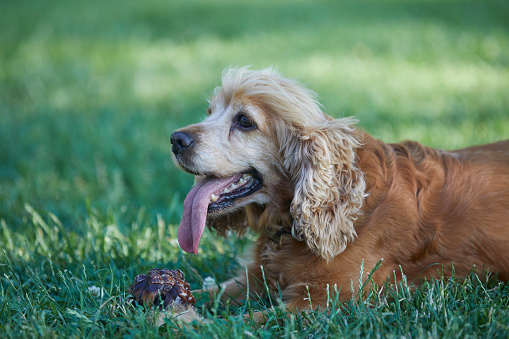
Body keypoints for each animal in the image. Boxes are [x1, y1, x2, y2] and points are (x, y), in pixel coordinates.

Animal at [170, 66, 508, 322]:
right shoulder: (254, 277)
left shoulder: (328, 300)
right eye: (210, 112)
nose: (175, 139)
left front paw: (181, 322)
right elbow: (203, 293)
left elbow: (241, 322)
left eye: (244, 121)